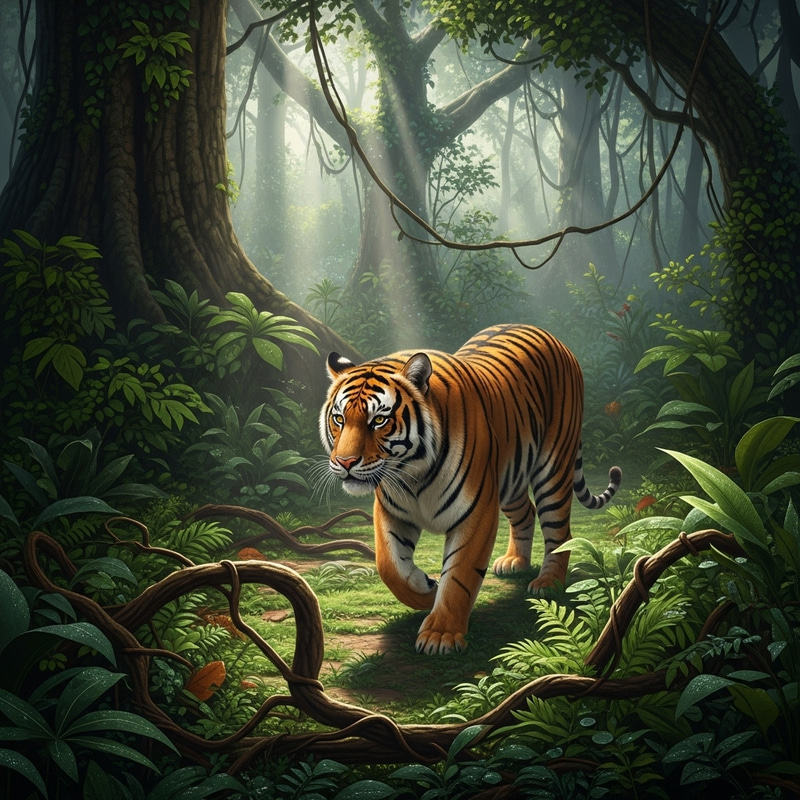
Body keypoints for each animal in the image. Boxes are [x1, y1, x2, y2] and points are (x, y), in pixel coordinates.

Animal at [319, 324, 621, 655]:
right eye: (339, 419)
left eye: (379, 420)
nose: (345, 462)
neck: (412, 474)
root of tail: (548, 334)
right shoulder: (391, 510)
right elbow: (389, 566)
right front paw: (427, 589)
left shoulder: (476, 512)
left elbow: (459, 576)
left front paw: (440, 634)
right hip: (511, 480)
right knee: (526, 513)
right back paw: (515, 562)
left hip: (554, 468)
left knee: (560, 531)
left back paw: (549, 583)